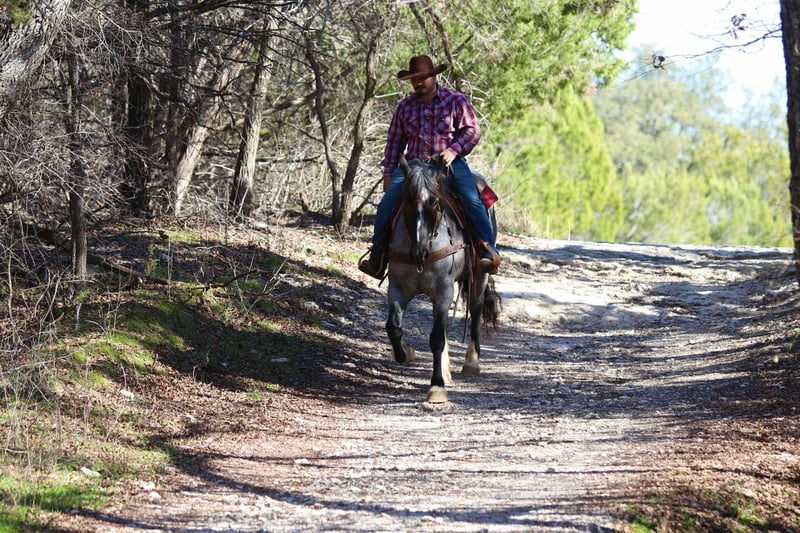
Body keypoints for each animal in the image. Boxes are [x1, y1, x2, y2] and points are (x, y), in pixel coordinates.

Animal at [385, 157, 501, 403]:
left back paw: (471, 362)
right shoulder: (397, 289)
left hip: (480, 275)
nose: (418, 250)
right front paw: (405, 353)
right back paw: (447, 370)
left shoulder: (443, 290)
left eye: (436, 201)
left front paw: (436, 386)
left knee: (475, 310)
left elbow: (437, 338)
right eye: (406, 200)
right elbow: (394, 328)